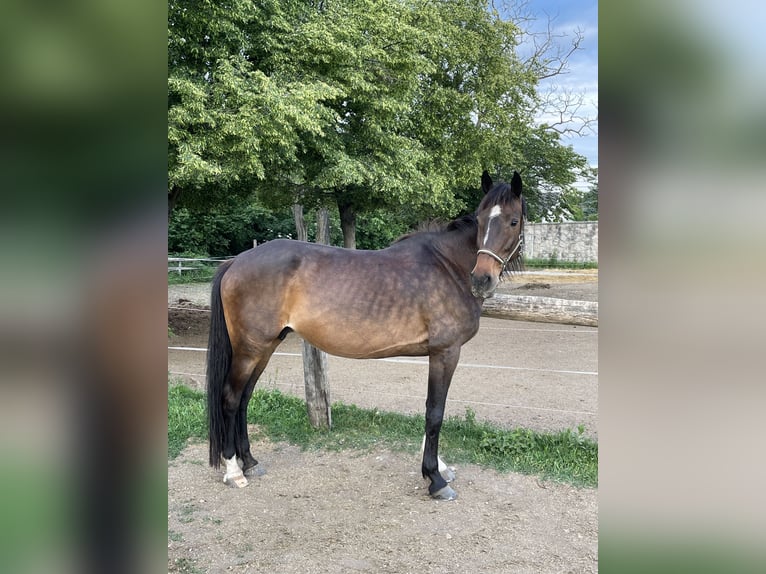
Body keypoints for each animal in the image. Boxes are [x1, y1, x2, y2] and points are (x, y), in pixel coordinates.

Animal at [207, 170, 525, 500]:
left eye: (513, 221)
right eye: (482, 218)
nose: (482, 280)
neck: (447, 265)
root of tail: (236, 260)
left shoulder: (437, 354)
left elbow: (430, 409)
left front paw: (437, 466)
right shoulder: (446, 352)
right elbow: (435, 412)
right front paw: (435, 478)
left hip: (265, 347)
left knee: (245, 398)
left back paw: (250, 462)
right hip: (249, 349)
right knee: (230, 399)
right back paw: (234, 470)